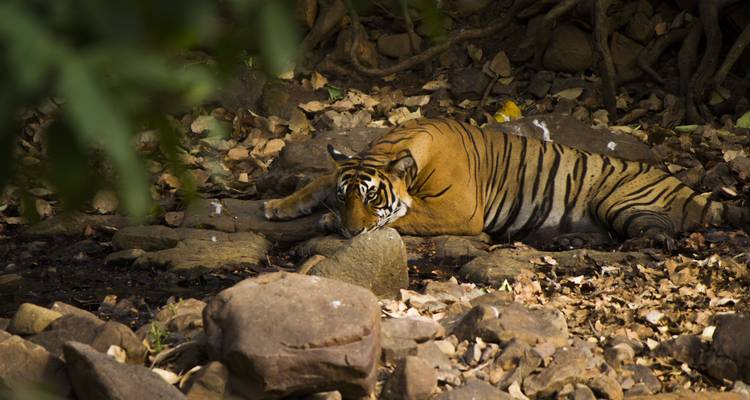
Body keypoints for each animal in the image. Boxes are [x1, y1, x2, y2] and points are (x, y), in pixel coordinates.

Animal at [264, 118, 749, 248]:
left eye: (371, 197)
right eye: (346, 196)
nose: (349, 230)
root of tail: (682, 185)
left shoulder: (458, 210)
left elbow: (404, 218)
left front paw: (329, 224)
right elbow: (318, 181)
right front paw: (278, 206)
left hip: (620, 201)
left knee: (662, 231)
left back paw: (646, 242)